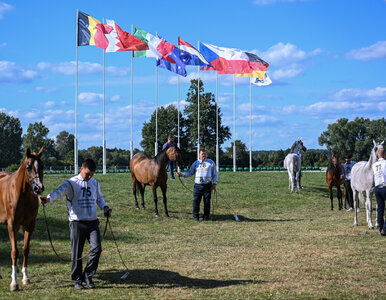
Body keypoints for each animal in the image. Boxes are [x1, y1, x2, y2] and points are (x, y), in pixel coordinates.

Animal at [0, 148, 44, 290]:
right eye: (28, 167)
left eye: (42, 166)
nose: (39, 188)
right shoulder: (12, 225)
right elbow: (14, 252)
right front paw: (14, 283)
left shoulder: (30, 225)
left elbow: (25, 250)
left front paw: (25, 277)